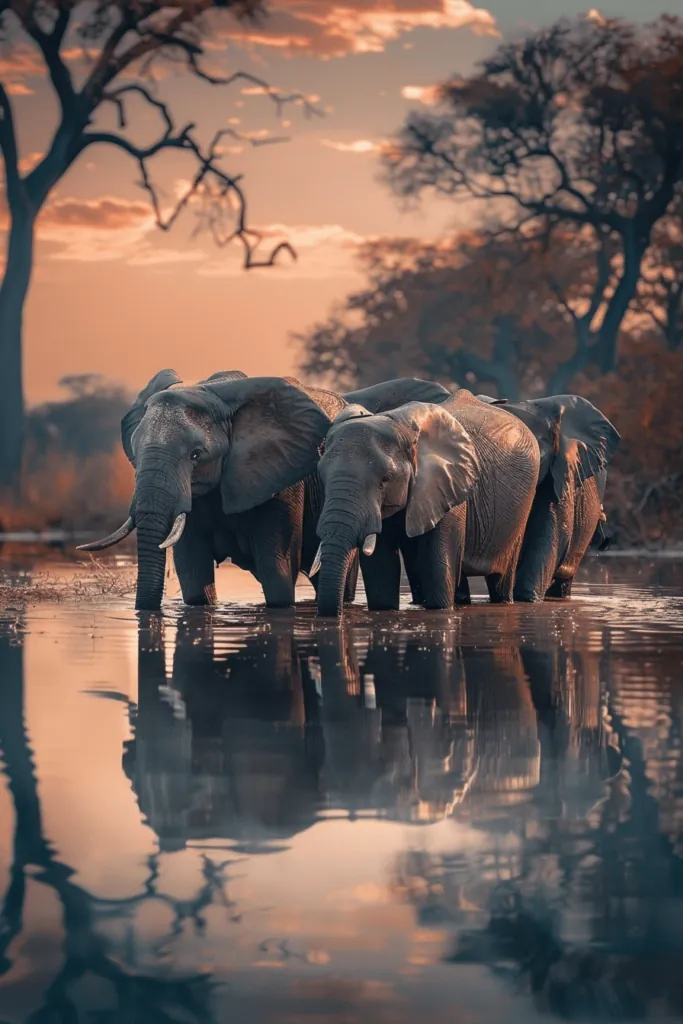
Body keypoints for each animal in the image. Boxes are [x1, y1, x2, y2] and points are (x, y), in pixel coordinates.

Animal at [79, 370, 451, 611]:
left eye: (196, 455)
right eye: (135, 451)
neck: (214, 393)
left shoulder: (283, 481)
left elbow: (277, 571)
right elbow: (193, 574)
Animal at [313, 388, 541, 616]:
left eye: (385, 480)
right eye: (322, 477)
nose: (339, 613)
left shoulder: (447, 488)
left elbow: (437, 569)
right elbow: (381, 572)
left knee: (500, 580)